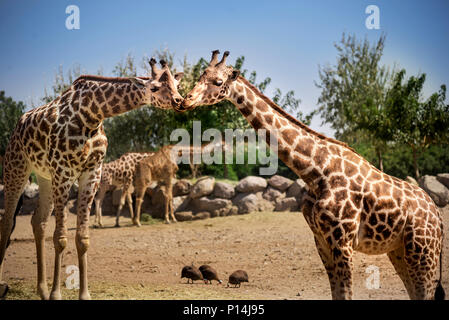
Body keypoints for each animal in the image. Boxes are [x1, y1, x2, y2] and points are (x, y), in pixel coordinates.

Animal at [0, 58, 184, 300]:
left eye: (177, 85)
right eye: (153, 88)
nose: (179, 101)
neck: (92, 114)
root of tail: (17, 125)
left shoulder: (91, 173)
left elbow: (83, 239)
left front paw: (82, 294)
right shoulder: (64, 171)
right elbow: (60, 238)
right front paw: (56, 294)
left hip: (44, 176)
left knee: (37, 222)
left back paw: (41, 290)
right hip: (17, 167)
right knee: (6, 222)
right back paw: (7, 285)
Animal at [176, 50, 444, 300]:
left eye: (218, 82)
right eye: (200, 76)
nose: (184, 101)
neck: (315, 171)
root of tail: (438, 217)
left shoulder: (343, 242)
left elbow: (347, 293)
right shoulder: (321, 241)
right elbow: (337, 293)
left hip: (423, 251)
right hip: (399, 251)